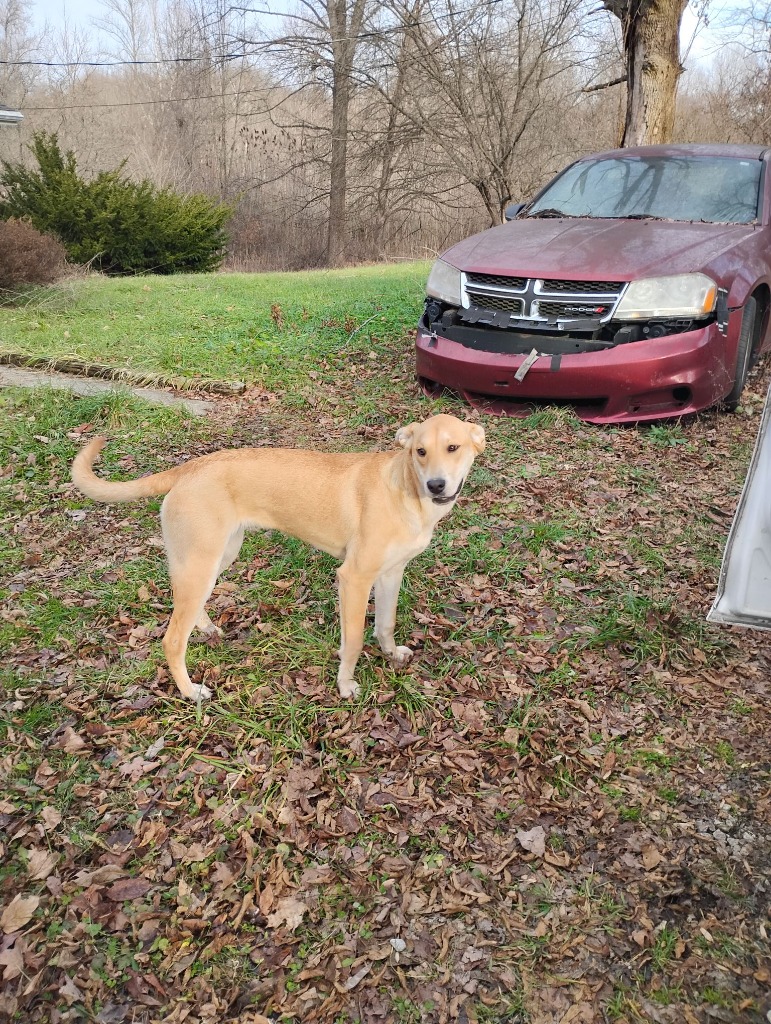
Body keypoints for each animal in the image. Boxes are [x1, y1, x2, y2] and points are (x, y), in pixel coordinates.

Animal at [71, 414, 485, 701]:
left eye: (453, 448)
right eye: (420, 452)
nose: (436, 485)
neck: (405, 489)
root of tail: (190, 467)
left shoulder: (390, 574)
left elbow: (385, 623)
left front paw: (391, 653)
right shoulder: (354, 578)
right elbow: (353, 640)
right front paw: (345, 684)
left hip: (215, 559)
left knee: (188, 611)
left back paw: (206, 628)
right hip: (202, 564)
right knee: (173, 639)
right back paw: (190, 692)